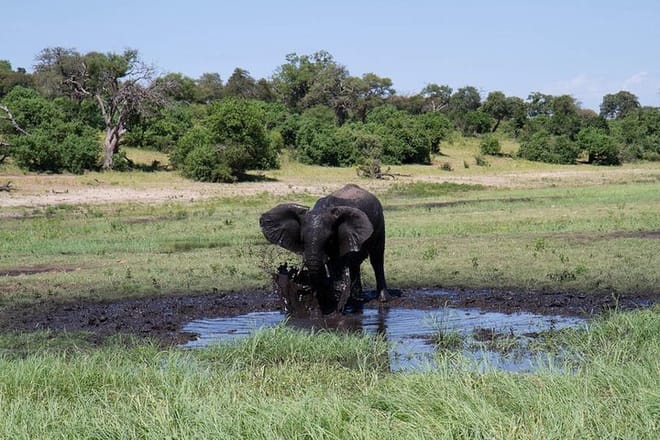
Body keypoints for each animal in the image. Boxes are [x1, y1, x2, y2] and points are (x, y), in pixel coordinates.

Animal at [260, 184, 388, 313]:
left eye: (330, 239)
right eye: (302, 239)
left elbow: (337, 265)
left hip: (380, 223)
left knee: (376, 259)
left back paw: (381, 299)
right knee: (356, 263)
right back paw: (357, 298)